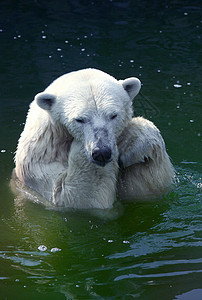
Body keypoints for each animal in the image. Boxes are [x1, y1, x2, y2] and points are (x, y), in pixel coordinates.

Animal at [14, 68, 175, 209]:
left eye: (113, 115)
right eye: (79, 119)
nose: (102, 152)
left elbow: (147, 187)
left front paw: (134, 146)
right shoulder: (38, 162)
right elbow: (75, 196)